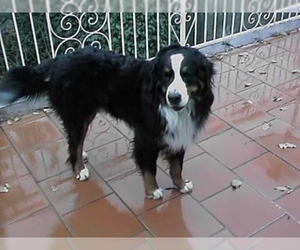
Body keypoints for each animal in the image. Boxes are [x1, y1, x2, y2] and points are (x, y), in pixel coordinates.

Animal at [0, 43, 214, 199]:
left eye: (187, 75)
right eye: (166, 75)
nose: (174, 97)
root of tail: (57, 60)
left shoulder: (180, 134)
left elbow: (177, 166)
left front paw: (181, 185)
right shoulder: (145, 138)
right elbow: (149, 169)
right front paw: (153, 191)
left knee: (75, 143)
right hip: (77, 114)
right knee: (74, 143)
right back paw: (80, 170)